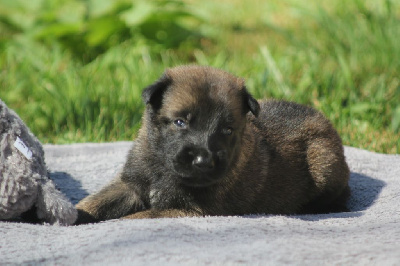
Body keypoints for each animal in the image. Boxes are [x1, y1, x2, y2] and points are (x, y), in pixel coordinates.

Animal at [75, 65, 350, 223]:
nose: (203, 161)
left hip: (322, 163)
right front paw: (75, 215)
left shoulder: (193, 210)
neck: (163, 170)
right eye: (180, 122)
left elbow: (133, 218)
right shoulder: (130, 185)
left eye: (227, 130)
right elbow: (95, 203)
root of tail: (324, 119)